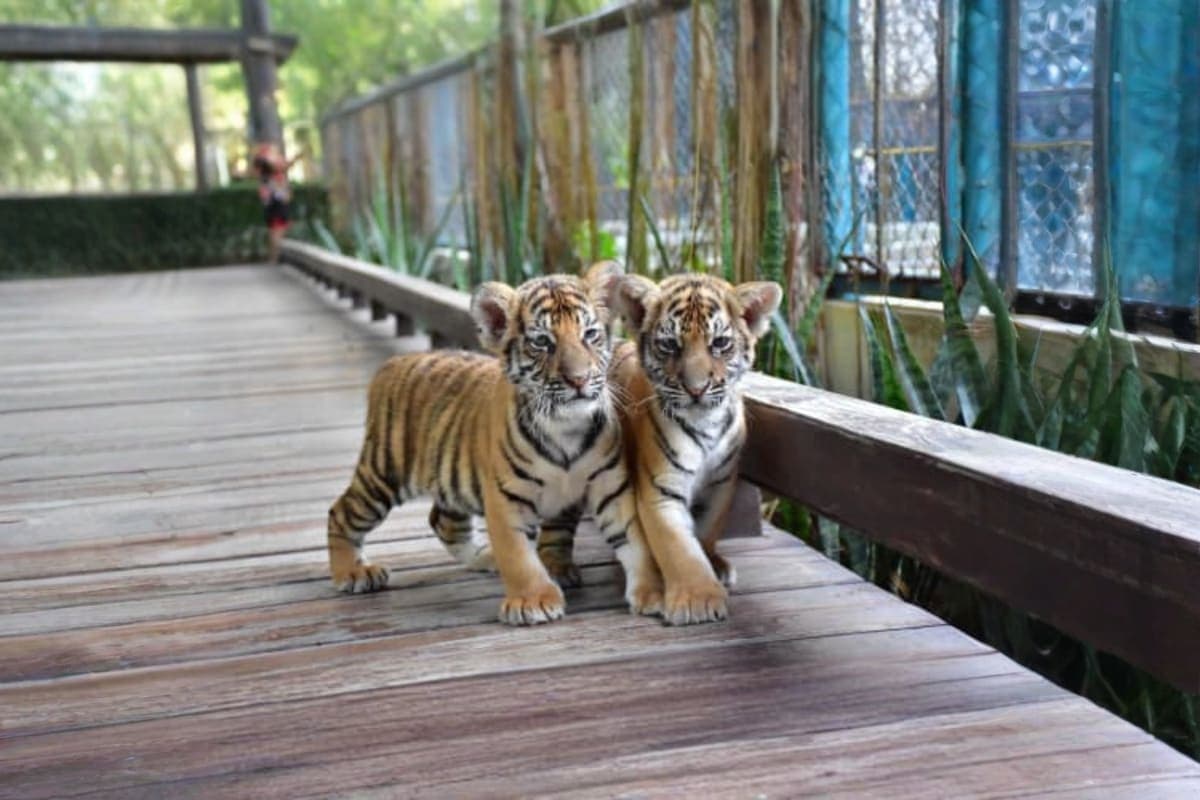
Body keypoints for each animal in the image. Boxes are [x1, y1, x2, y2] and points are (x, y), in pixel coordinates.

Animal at [326, 262, 663, 625]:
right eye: (542, 342)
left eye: (590, 334)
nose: (579, 379)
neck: (566, 428)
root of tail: (392, 364)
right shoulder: (507, 496)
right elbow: (518, 554)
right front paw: (533, 601)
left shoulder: (609, 486)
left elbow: (633, 541)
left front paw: (653, 593)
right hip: (383, 474)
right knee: (341, 512)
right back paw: (352, 572)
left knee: (444, 521)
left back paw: (483, 557)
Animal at [537, 272, 781, 625]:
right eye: (670, 345)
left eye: (719, 343)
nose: (696, 389)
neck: (707, 423)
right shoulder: (660, 488)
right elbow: (677, 548)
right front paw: (698, 600)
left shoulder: (720, 484)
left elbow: (706, 531)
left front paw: (713, 564)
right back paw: (558, 568)